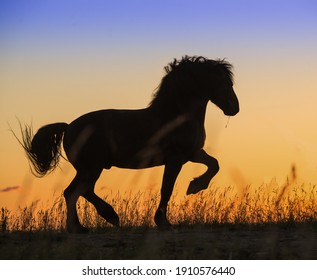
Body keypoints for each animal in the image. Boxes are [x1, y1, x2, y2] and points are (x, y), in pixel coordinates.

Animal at [17, 55, 238, 232]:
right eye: (220, 81)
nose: (234, 108)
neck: (175, 116)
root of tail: (69, 126)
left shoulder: (192, 153)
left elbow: (214, 164)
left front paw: (195, 186)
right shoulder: (175, 159)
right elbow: (166, 189)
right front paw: (164, 222)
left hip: (90, 169)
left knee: (78, 191)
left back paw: (86, 225)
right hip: (92, 168)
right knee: (74, 192)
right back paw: (102, 219)